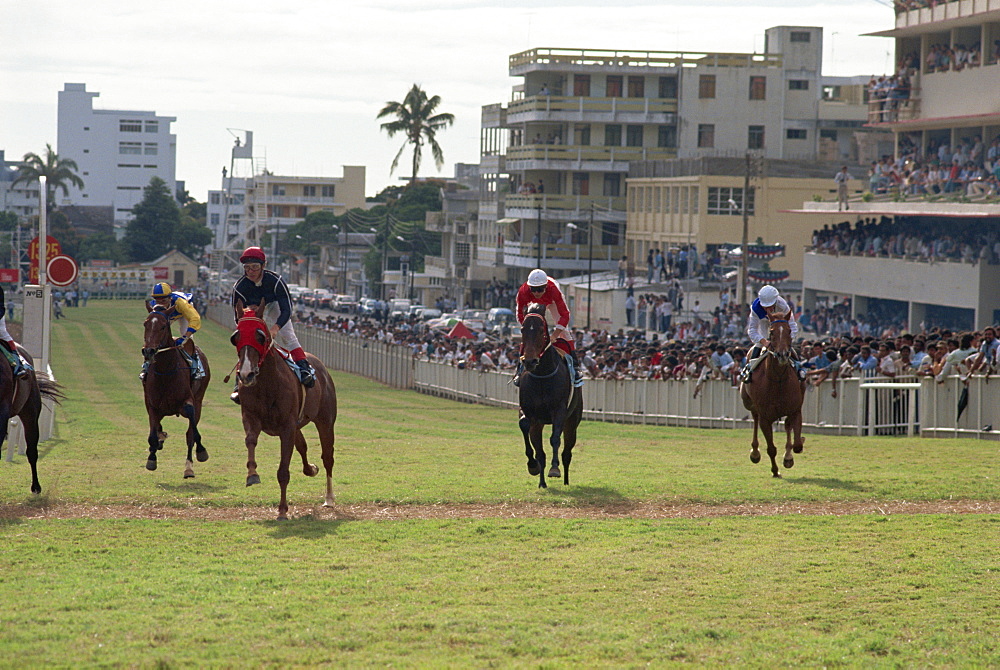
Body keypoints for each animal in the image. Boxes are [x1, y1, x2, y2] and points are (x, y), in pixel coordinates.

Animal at [141, 308, 211, 480]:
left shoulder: (188, 402)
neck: (166, 371)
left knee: (190, 432)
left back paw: (189, 468)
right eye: (145, 324)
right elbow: (152, 434)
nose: (148, 351)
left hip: (199, 398)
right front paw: (152, 457)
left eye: (163, 326)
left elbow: (192, 431)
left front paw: (201, 451)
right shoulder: (152, 404)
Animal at [231, 302, 338, 524]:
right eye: (236, 336)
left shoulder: (287, 427)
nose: (246, 373)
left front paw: (282, 510)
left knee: (328, 456)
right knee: (303, 447)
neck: (267, 384)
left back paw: (329, 498)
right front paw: (252, 474)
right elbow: (250, 440)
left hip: (325, 421)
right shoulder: (251, 417)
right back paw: (310, 469)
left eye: (261, 336)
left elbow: (283, 471)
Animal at [520, 304, 584, 488]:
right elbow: (536, 446)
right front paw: (534, 468)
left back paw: (566, 481)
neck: (542, 375)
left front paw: (554, 468)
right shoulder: (533, 416)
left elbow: (555, 439)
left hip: (573, 420)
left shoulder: (559, 411)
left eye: (542, 330)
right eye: (522, 329)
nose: (530, 361)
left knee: (567, 452)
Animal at [740, 312, 808, 480]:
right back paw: (755, 453)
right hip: (749, 403)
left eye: (789, 331)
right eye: (771, 332)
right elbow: (771, 448)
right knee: (755, 418)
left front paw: (790, 455)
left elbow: (797, 444)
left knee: (788, 426)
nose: (783, 355)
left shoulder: (795, 410)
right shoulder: (765, 417)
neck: (778, 379)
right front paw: (775, 470)